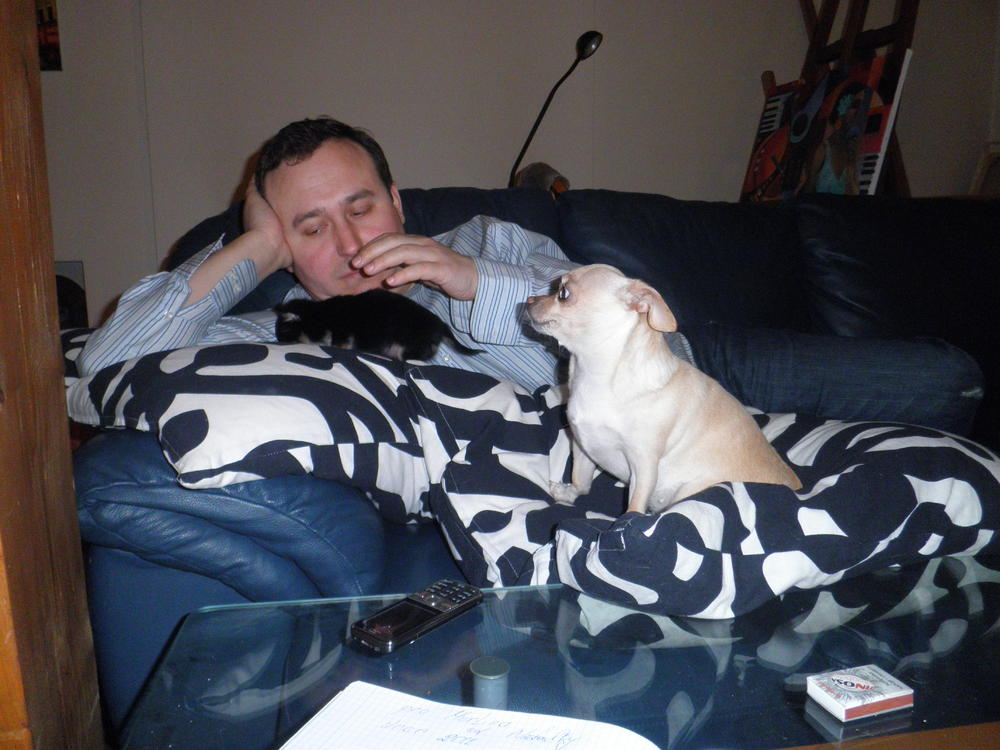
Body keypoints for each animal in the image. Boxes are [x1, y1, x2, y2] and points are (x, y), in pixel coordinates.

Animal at [274, 289, 480, 361]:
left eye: (283, 334)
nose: (276, 341)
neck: (317, 315)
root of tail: (441, 325)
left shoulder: (341, 331)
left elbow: (338, 343)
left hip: (409, 345)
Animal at [526, 264, 801, 514]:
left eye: (563, 294)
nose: (528, 299)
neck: (595, 375)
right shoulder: (584, 446)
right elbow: (581, 480)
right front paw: (568, 494)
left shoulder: (644, 465)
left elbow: (634, 508)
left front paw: (624, 527)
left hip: (689, 489)